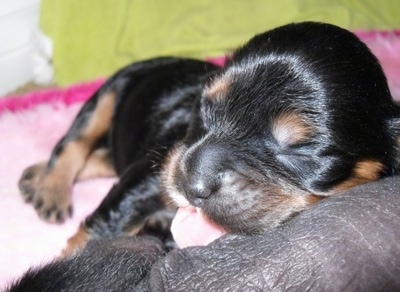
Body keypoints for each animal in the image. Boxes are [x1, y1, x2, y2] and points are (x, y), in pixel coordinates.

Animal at [17, 21, 398, 253]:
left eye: (303, 151)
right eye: (204, 110)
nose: (190, 184)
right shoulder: (154, 169)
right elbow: (102, 229)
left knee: (101, 157)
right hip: (109, 93)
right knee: (73, 144)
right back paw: (49, 186)